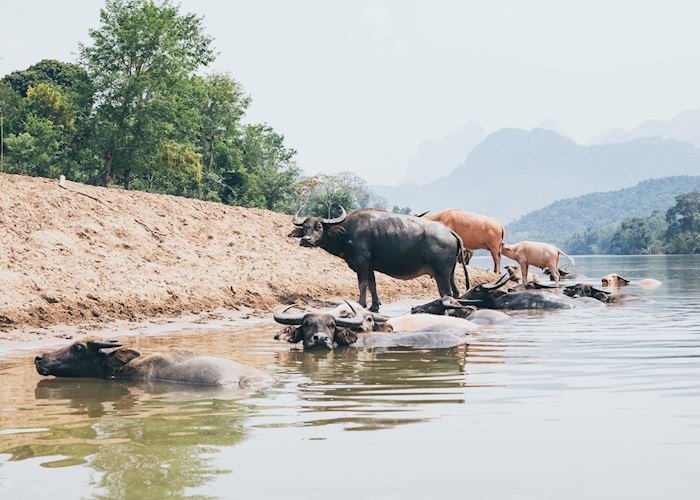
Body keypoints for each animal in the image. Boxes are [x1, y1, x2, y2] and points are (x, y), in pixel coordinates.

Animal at [289, 207, 469, 312]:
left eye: (319, 226)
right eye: (304, 227)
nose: (306, 240)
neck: (347, 233)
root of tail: (450, 232)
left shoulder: (361, 262)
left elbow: (362, 284)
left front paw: (361, 304)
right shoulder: (369, 266)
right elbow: (372, 284)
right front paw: (374, 306)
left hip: (441, 274)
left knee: (446, 293)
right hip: (450, 272)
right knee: (455, 292)